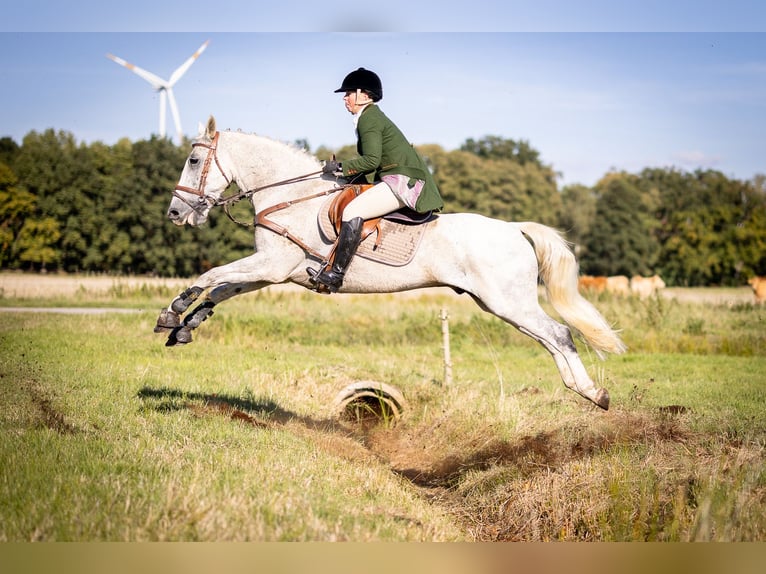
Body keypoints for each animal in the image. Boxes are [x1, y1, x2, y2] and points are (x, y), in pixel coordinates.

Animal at [156, 116, 626, 410]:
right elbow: (221, 289)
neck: (290, 196)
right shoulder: (273, 271)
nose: (175, 214)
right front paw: (186, 326)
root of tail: (514, 228)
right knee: (551, 338)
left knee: (559, 334)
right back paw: (583, 390)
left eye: (194, 160)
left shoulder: (270, 264)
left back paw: (592, 393)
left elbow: (210, 275)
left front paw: (171, 312)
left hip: (508, 302)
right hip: (501, 304)